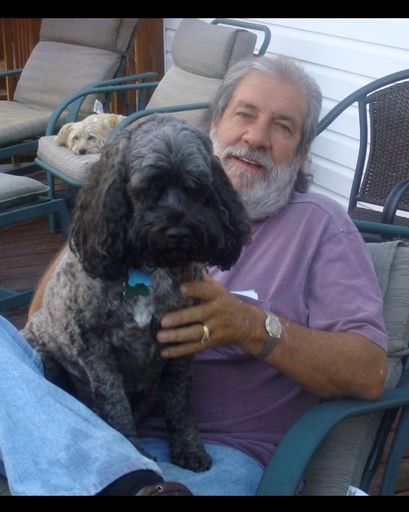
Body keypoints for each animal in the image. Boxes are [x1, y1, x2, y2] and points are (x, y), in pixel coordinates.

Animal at [23, 114, 251, 473]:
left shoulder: (180, 346)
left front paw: (188, 448)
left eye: (195, 187)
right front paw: (133, 451)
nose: (179, 232)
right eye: (148, 188)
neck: (148, 268)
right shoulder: (96, 349)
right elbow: (116, 405)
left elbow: (180, 404)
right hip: (48, 358)